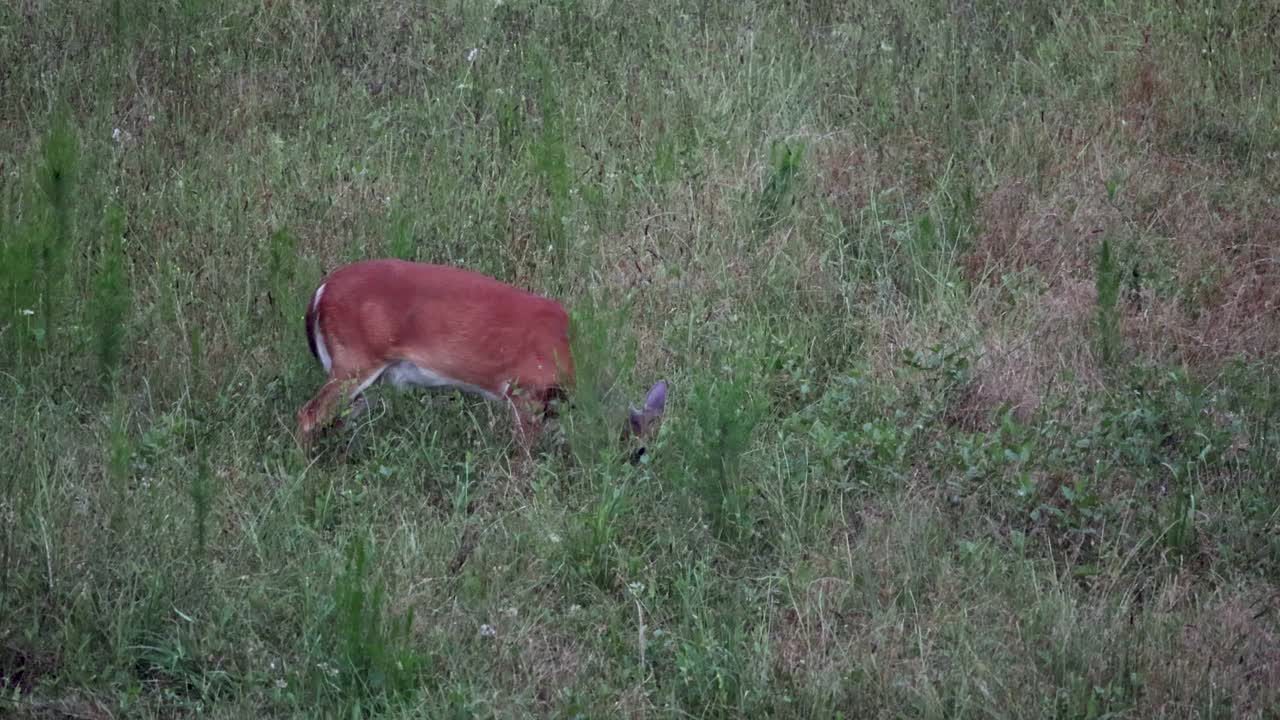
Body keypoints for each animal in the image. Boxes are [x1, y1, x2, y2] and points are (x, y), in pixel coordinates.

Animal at [293, 257, 665, 456]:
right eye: (640, 447)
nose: (633, 467)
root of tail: (319, 294)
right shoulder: (524, 389)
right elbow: (524, 453)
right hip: (355, 358)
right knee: (308, 414)